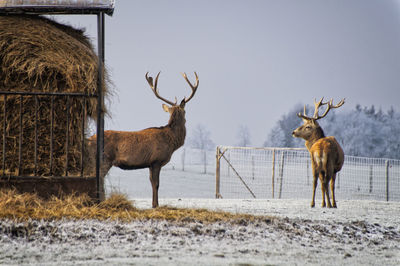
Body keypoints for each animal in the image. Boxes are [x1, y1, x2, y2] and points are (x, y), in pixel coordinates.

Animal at [88, 72, 198, 208]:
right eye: (185, 111)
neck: (171, 141)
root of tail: (88, 140)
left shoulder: (150, 163)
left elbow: (151, 183)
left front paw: (153, 204)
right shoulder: (156, 160)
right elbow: (156, 184)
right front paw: (156, 205)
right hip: (105, 158)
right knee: (99, 177)